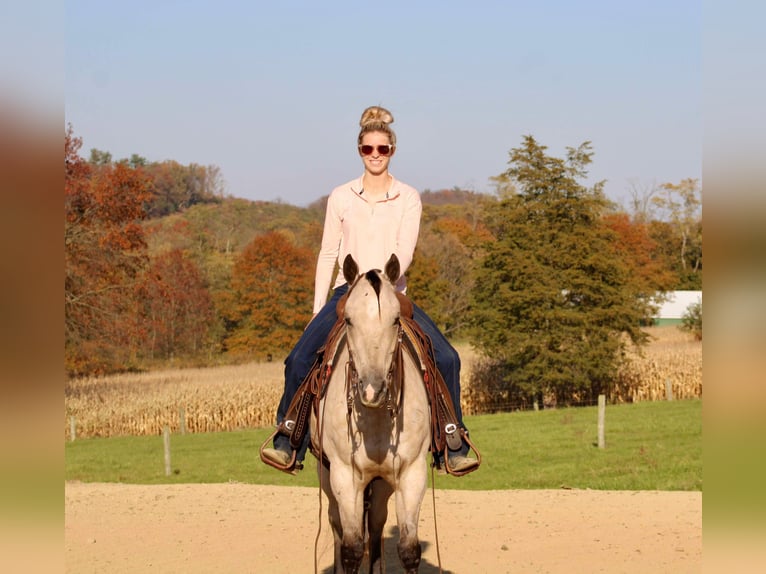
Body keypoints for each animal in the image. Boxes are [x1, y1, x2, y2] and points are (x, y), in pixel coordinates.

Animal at [312, 256, 432, 574]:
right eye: (349, 320)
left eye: (395, 319)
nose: (371, 390)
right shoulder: (344, 475)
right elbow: (352, 548)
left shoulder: (411, 473)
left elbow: (409, 549)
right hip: (326, 475)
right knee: (337, 527)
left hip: (381, 484)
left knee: (376, 527)